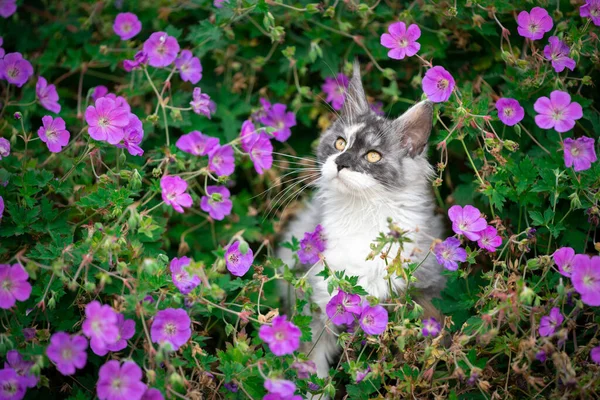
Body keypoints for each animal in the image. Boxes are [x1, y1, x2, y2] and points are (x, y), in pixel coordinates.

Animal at [276, 61, 446, 378]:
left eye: (373, 156)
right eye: (340, 143)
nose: (341, 163)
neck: (359, 214)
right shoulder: (318, 305)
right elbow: (313, 364)